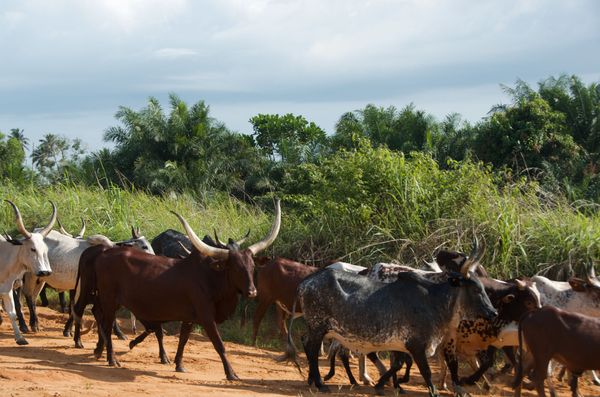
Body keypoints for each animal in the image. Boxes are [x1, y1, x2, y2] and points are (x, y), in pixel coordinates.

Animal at [0, 201, 55, 344]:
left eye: (45, 249)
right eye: (32, 249)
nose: (45, 272)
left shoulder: (7, 288)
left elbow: (12, 312)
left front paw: (20, 338)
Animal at [75, 198, 282, 378]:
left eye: (252, 267)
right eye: (235, 267)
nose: (252, 292)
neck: (210, 277)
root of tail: (103, 253)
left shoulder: (189, 317)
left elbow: (183, 339)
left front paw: (179, 364)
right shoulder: (206, 317)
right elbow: (219, 344)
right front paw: (231, 373)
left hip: (106, 300)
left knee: (100, 317)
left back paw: (99, 351)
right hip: (109, 300)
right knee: (105, 323)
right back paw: (111, 358)